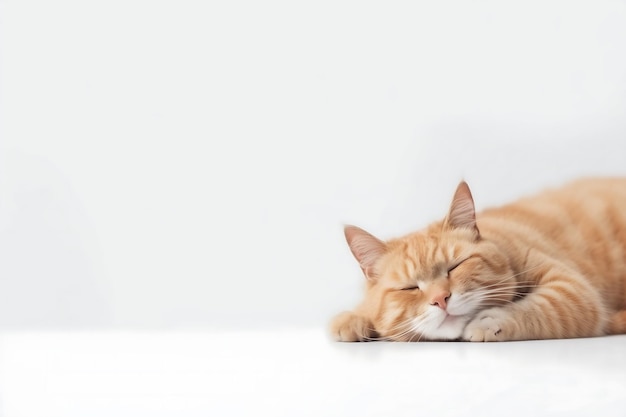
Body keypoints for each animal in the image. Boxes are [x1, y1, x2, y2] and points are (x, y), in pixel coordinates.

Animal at [330, 179, 624, 342]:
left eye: (455, 266)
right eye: (410, 287)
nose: (440, 299)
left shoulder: (574, 292)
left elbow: (537, 308)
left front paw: (488, 322)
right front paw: (354, 318)